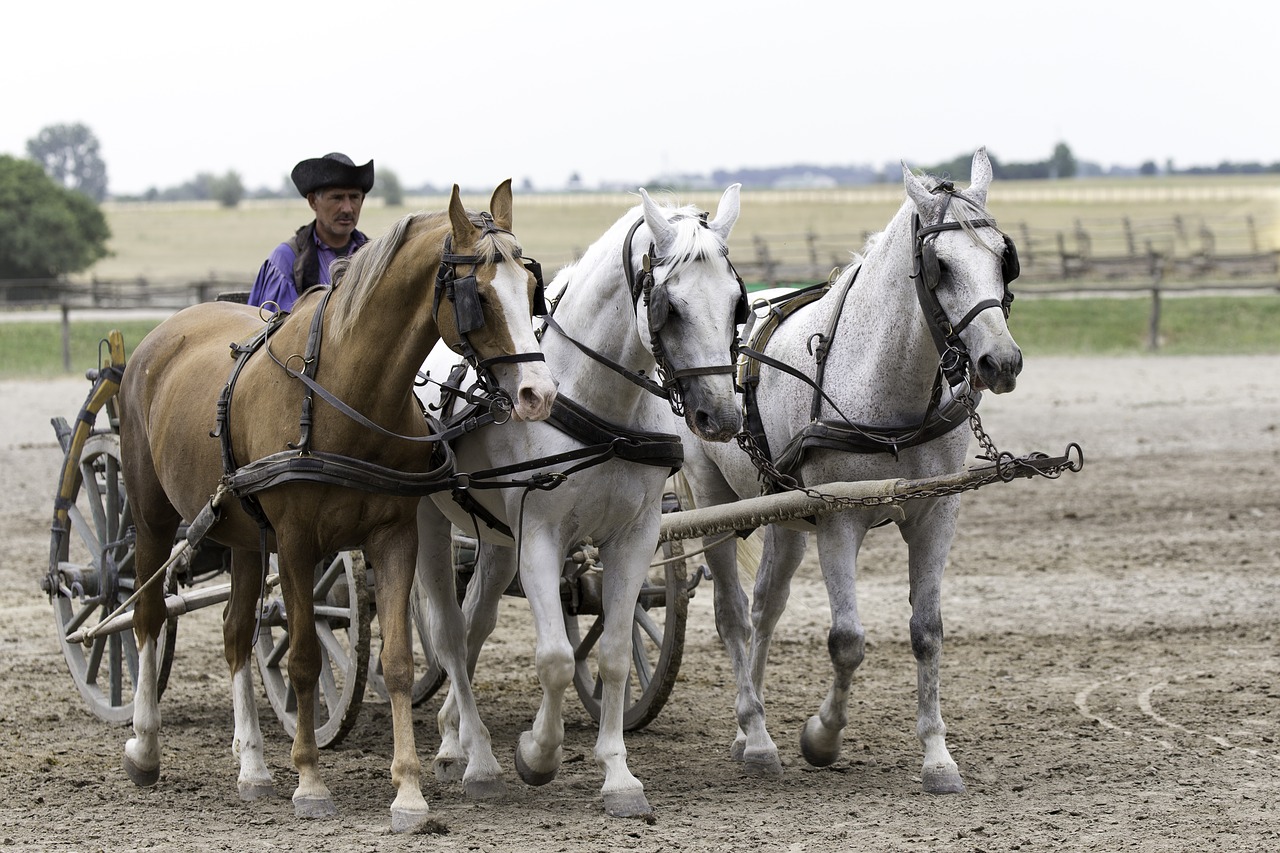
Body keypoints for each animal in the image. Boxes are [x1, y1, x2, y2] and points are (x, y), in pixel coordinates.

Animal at [117, 183, 558, 824]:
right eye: (476, 295)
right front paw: (309, 781)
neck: (344, 394)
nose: (538, 394)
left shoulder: (394, 536)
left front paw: (408, 791)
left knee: (235, 631)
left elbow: (397, 663)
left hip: (245, 535)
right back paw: (146, 746)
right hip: (152, 515)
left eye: (530, 289)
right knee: (149, 616)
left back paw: (253, 766)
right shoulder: (298, 544)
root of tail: (162, 333)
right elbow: (302, 657)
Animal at [414, 184, 747, 809]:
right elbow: (556, 658)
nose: (721, 416)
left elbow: (613, 654)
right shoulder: (542, 538)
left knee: (474, 626)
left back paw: (454, 737)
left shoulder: (635, 537)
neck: (600, 405)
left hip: (499, 541)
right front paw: (537, 755)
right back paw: (469, 753)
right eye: (670, 307)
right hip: (427, 519)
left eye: (738, 302)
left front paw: (618, 774)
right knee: (447, 633)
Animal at [680, 146, 1018, 788]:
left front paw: (937, 756)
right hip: (713, 498)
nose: (1002, 361)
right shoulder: (838, 520)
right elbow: (847, 640)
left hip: (786, 515)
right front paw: (822, 737)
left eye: (1001, 259)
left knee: (765, 609)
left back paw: (750, 729)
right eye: (940, 265)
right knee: (732, 616)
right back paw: (753, 733)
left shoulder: (937, 513)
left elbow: (927, 633)